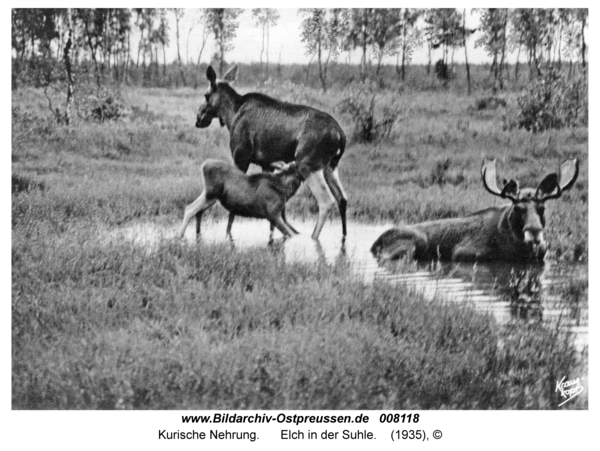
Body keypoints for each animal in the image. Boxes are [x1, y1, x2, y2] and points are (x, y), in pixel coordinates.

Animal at [196, 64, 346, 240]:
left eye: (206, 95)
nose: (198, 118)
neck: (230, 115)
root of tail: (340, 135)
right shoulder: (266, 164)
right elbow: (279, 209)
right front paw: (273, 237)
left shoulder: (241, 157)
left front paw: (228, 234)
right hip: (330, 167)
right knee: (342, 199)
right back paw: (343, 238)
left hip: (308, 165)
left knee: (326, 201)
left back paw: (313, 238)